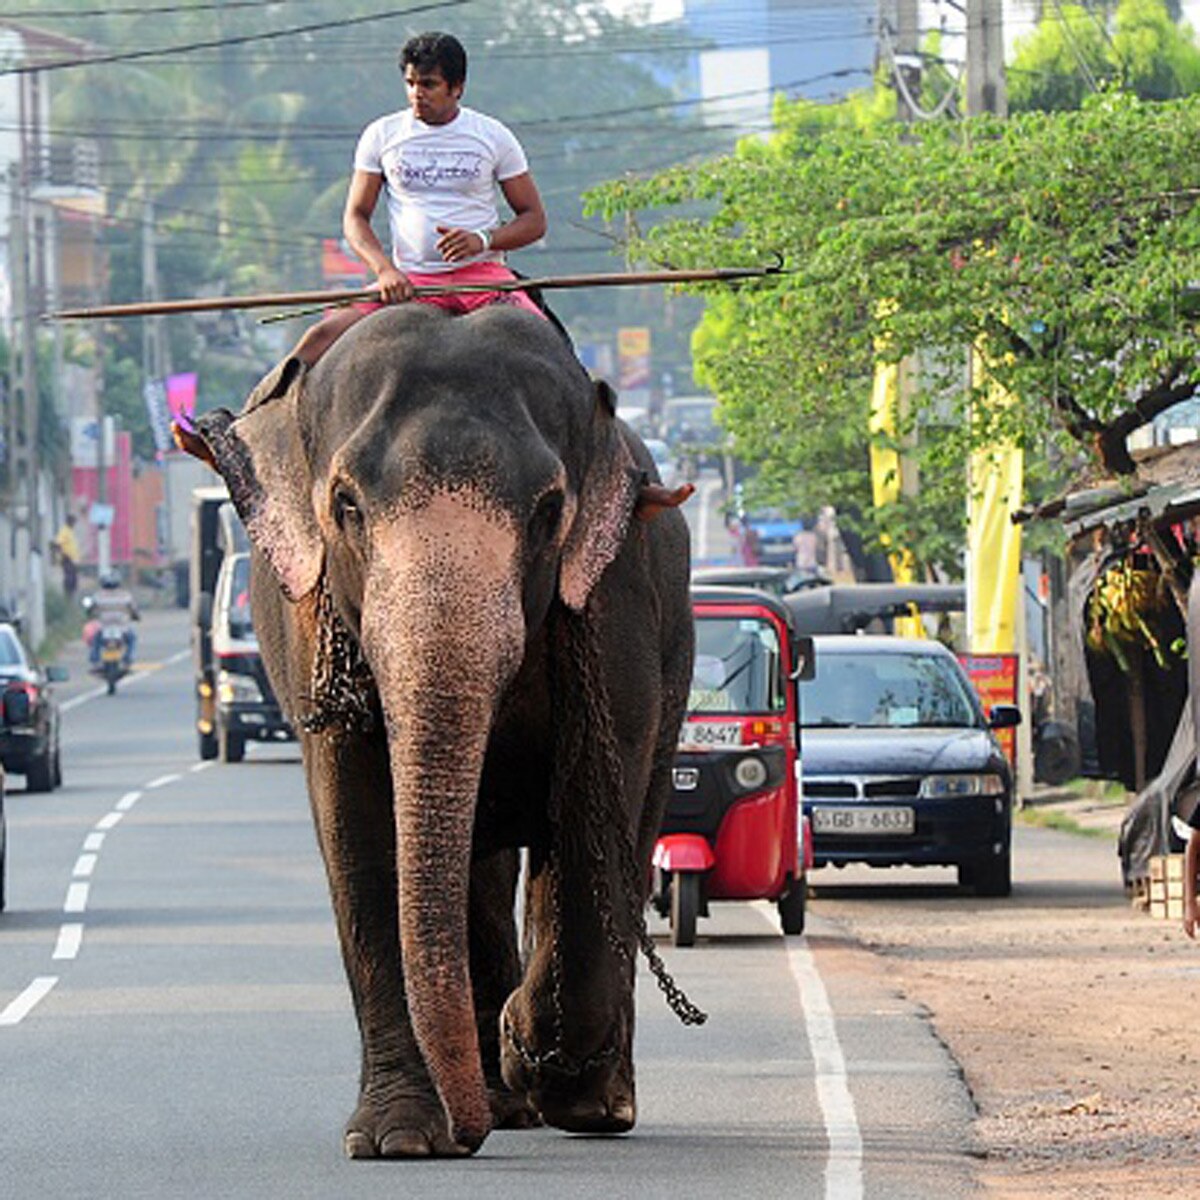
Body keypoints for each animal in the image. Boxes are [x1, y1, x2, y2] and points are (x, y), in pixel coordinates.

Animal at [178, 302, 697, 1159]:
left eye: (549, 511)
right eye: (346, 505)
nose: (468, 1135)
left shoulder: (614, 603)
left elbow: (594, 805)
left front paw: (540, 1062)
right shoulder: (312, 621)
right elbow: (356, 824)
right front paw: (397, 1140)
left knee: (627, 818)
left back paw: (580, 1099)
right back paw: (501, 1096)